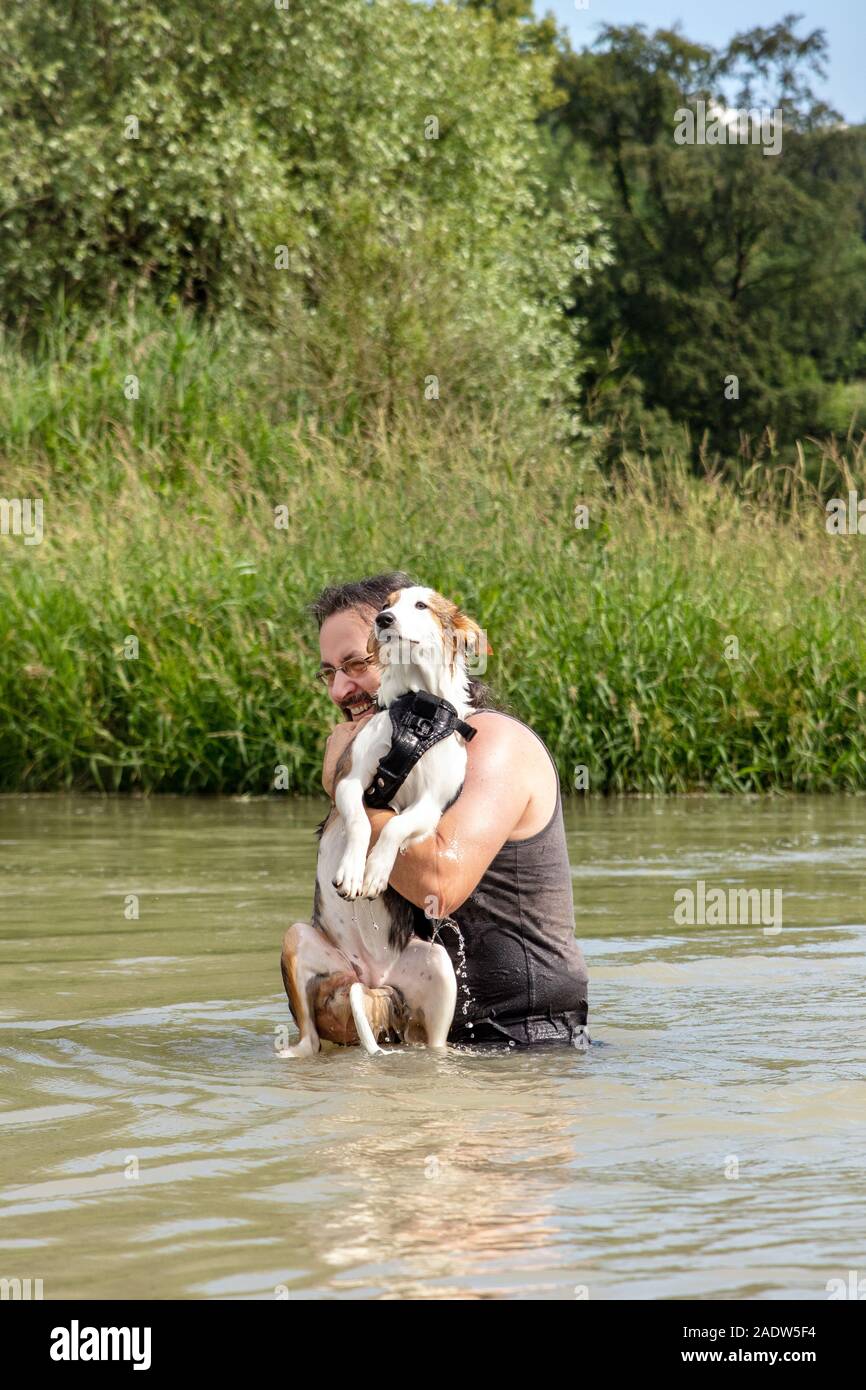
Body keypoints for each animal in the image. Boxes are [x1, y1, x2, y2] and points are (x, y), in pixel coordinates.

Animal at [278, 583, 483, 1050]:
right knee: (309, 1037)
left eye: (421, 605)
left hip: (439, 970)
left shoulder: (431, 805)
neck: (418, 714)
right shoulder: (351, 780)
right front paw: (353, 873)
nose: (383, 620)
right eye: (388, 604)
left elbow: (395, 827)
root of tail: (372, 977)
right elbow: (359, 822)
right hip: (297, 939)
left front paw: (374, 874)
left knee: (435, 1045)